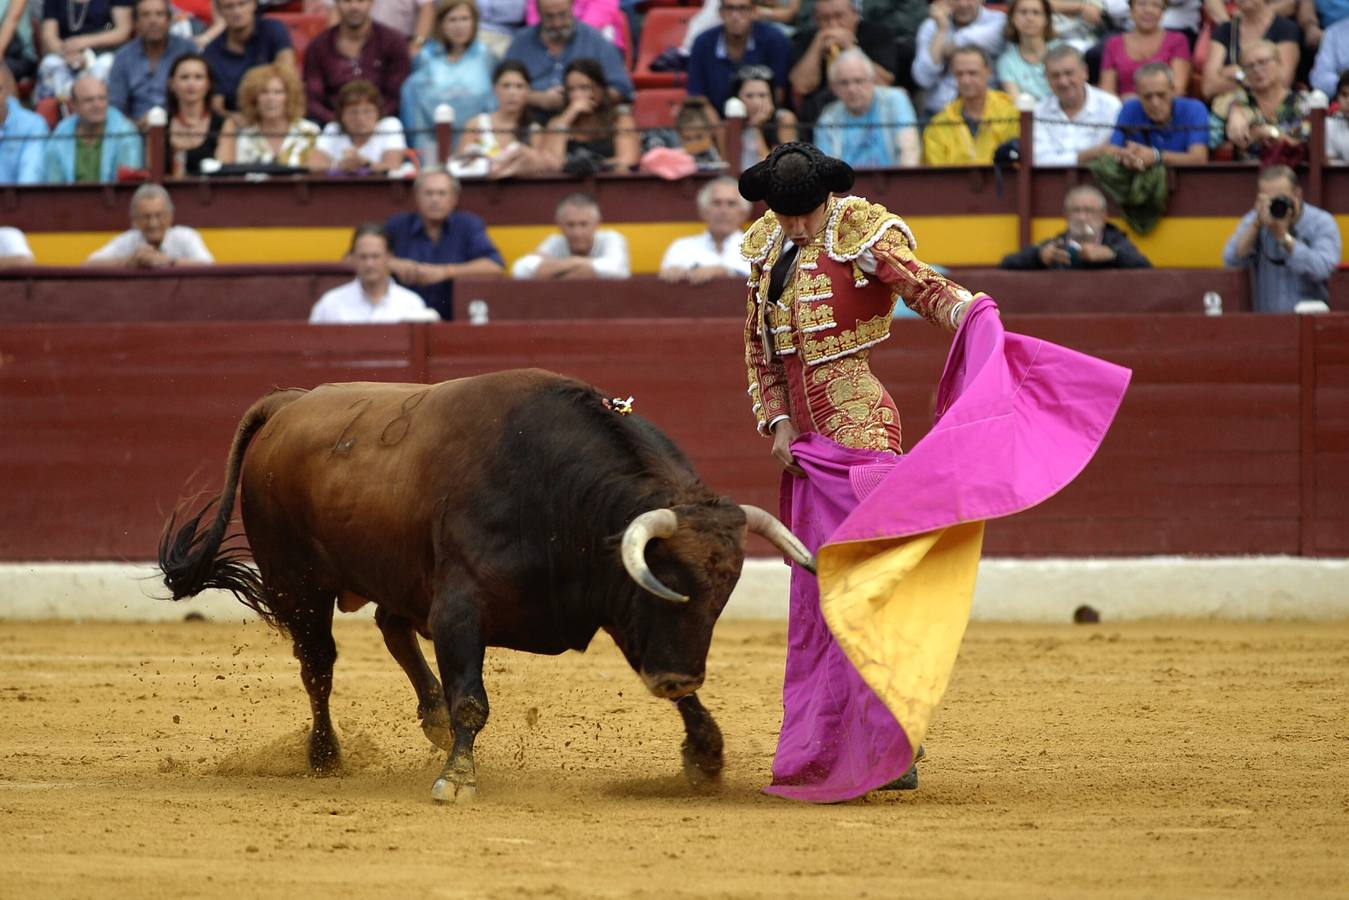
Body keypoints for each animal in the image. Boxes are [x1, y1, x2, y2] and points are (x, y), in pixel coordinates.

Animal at [157, 369, 809, 804]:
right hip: (296, 583)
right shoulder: (460, 608)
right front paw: (457, 777)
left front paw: (707, 753)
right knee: (317, 664)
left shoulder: (612, 602)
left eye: (721, 595)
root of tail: (289, 402)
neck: (560, 495)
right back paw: (325, 756)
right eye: (667, 580)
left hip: (394, 572)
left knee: (390, 629)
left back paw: (430, 717)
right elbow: (471, 696)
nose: (677, 676)